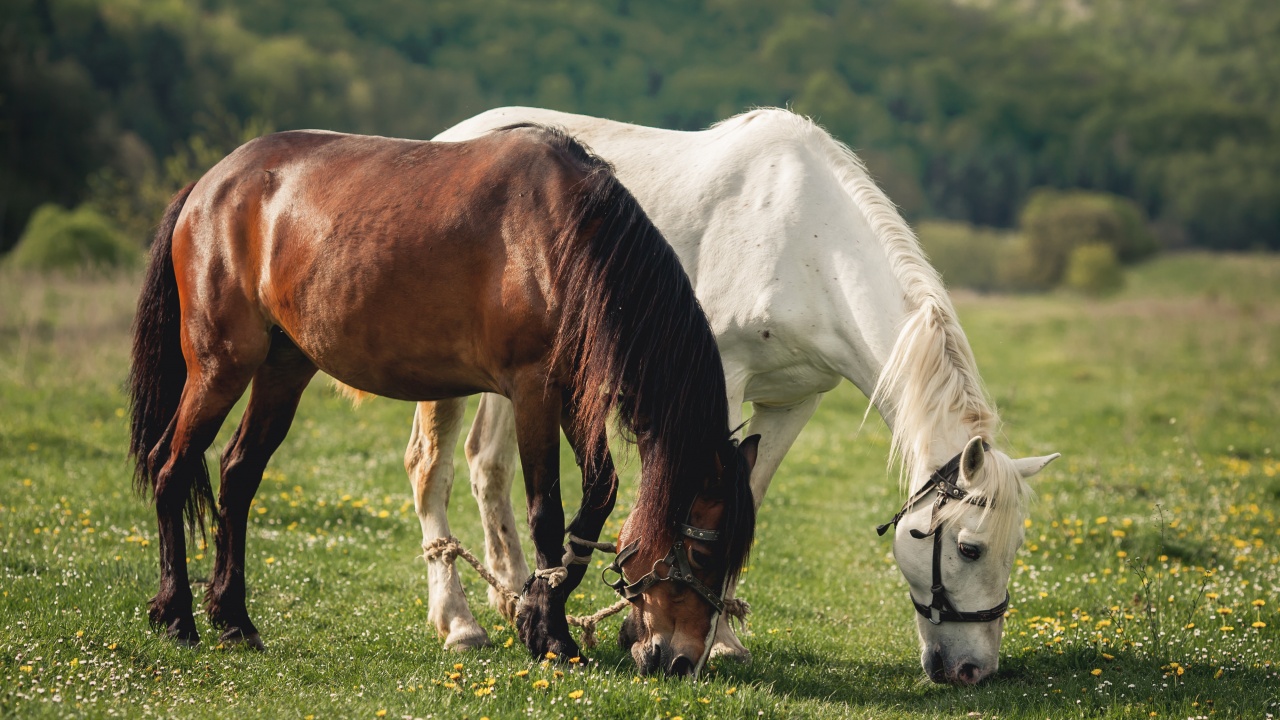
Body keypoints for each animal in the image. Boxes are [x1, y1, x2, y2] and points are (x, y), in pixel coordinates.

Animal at [126, 124, 752, 671]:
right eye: (702, 553)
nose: (681, 662)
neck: (566, 239)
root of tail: (210, 185)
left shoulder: (573, 394)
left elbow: (597, 499)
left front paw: (536, 611)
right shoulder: (533, 391)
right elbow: (546, 512)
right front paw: (551, 635)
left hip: (284, 369)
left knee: (237, 475)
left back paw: (234, 620)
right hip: (220, 367)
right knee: (171, 467)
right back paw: (177, 616)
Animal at [401, 103, 1059, 681]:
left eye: (1017, 546)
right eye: (970, 548)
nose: (973, 670)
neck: (809, 245)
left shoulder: (794, 402)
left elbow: (749, 498)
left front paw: (718, 636)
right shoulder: (719, 385)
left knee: (488, 464)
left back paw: (516, 597)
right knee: (432, 469)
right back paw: (460, 623)